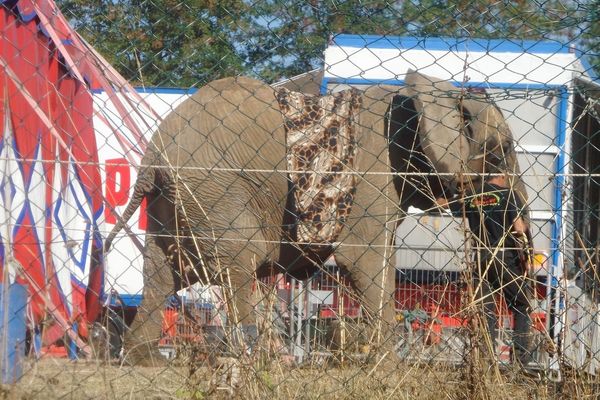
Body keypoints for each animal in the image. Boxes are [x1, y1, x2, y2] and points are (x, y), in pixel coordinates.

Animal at [105, 70, 528, 364]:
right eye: (506, 149)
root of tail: (152, 156)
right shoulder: (373, 171)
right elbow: (365, 258)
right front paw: (387, 367)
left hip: (174, 201)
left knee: (163, 272)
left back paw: (145, 359)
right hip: (214, 189)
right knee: (236, 265)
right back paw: (257, 360)